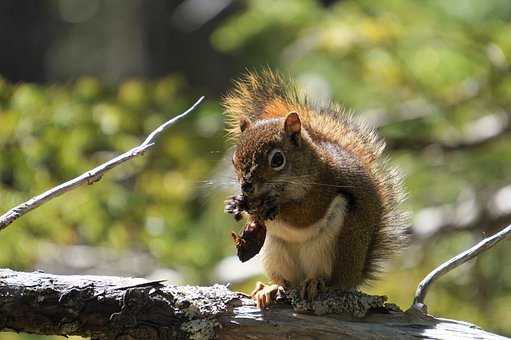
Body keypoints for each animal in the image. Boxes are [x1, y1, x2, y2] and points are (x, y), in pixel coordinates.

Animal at [223, 69, 408, 308]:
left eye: (277, 159)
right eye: (234, 159)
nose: (246, 186)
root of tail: (355, 276)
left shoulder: (324, 187)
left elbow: (306, 215)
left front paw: (273, 207)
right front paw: (237, 204)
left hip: (333, 247)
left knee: (326, 278)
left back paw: (316, 283)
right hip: (274, 253)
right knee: (286, 282)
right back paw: (270, 288)